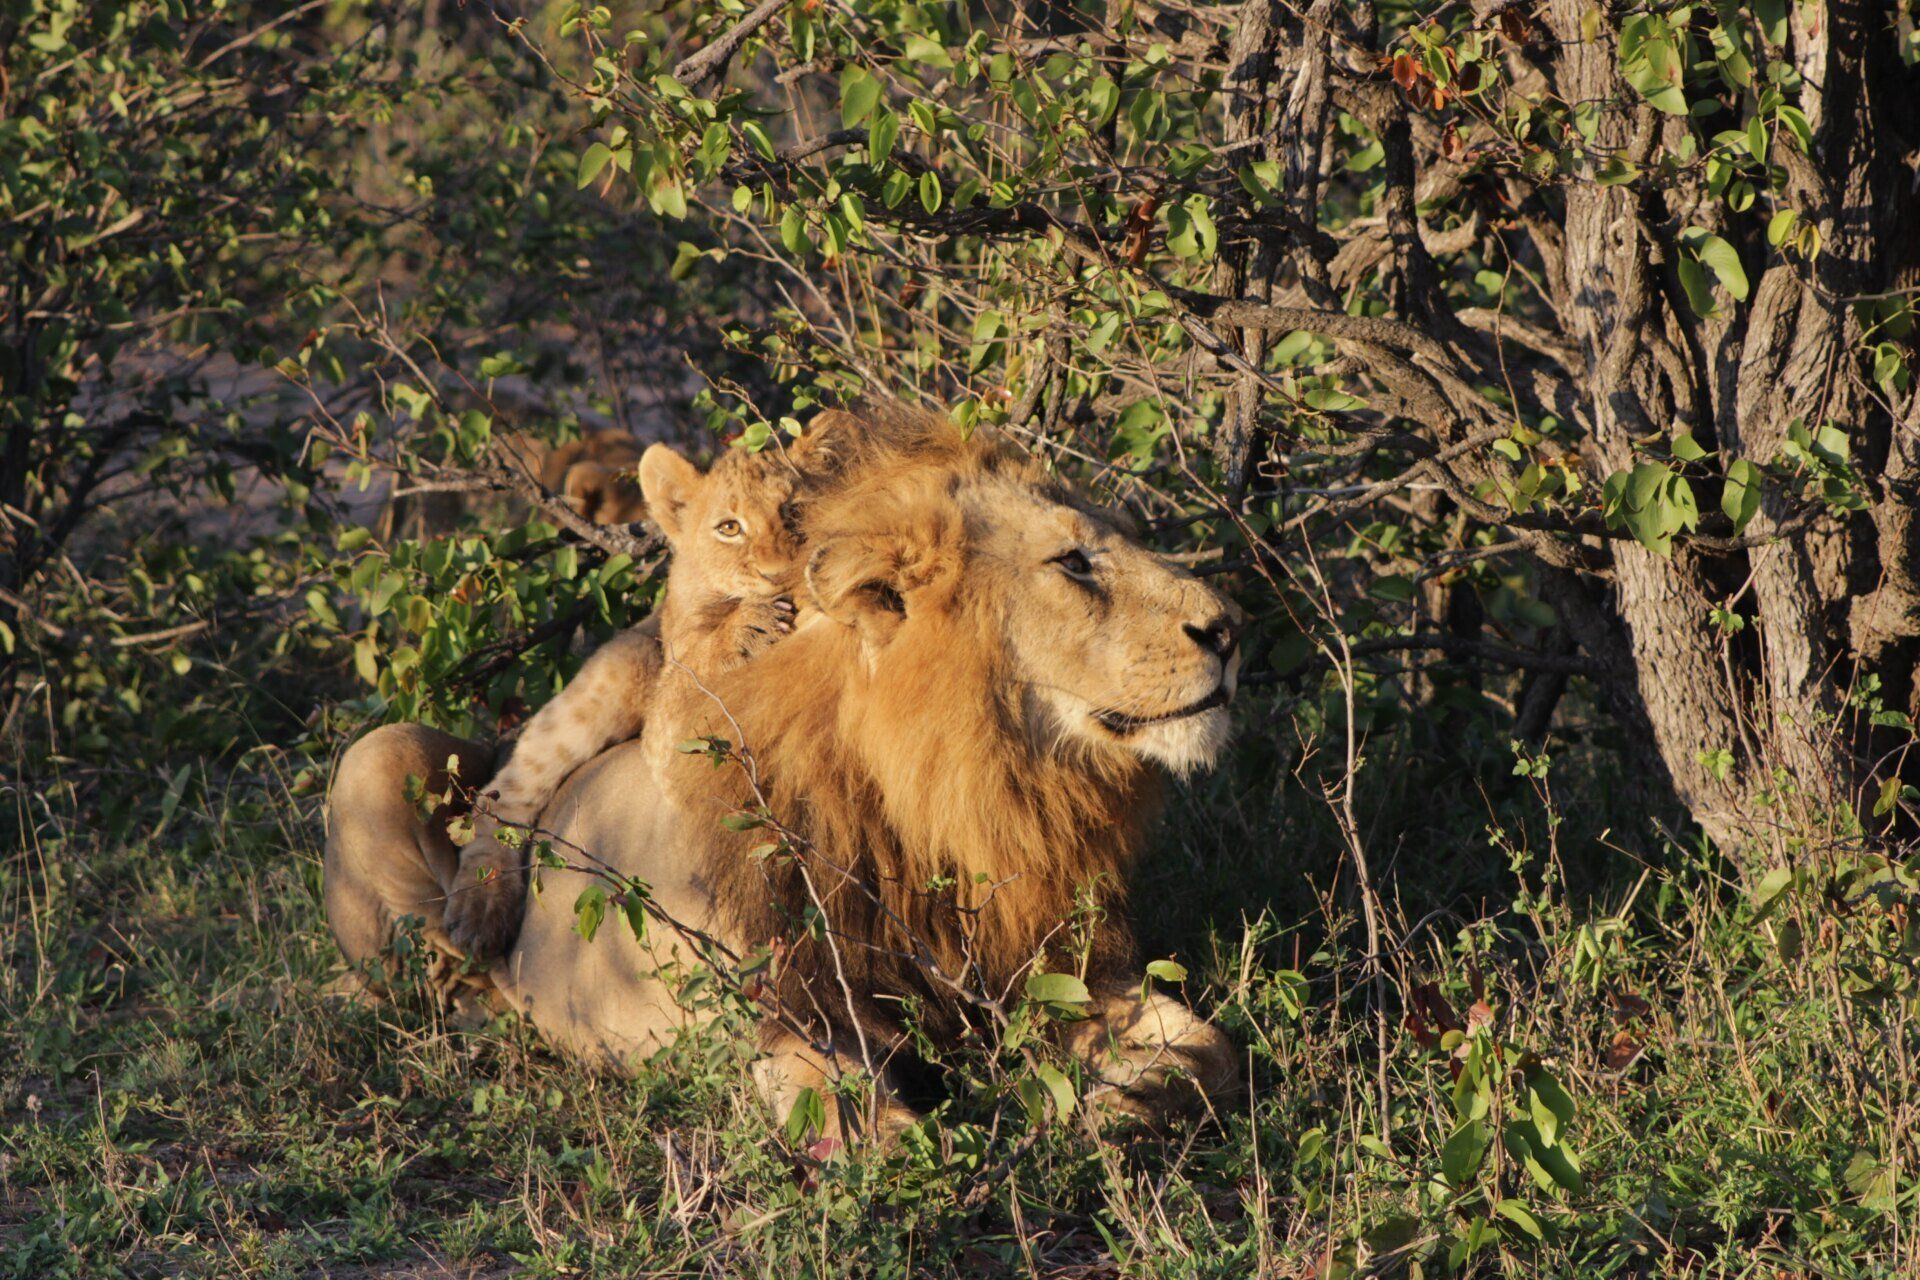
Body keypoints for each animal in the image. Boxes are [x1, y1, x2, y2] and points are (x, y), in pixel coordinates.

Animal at [325, 405, 1243, 1138]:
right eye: (1072, 564)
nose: (1230, 629)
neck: (955, 793)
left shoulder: (1068, 967)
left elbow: (1212, 1051)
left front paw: (1124, 1103)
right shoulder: (776, 1011)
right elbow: (855, 1123)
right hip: (379, 757)